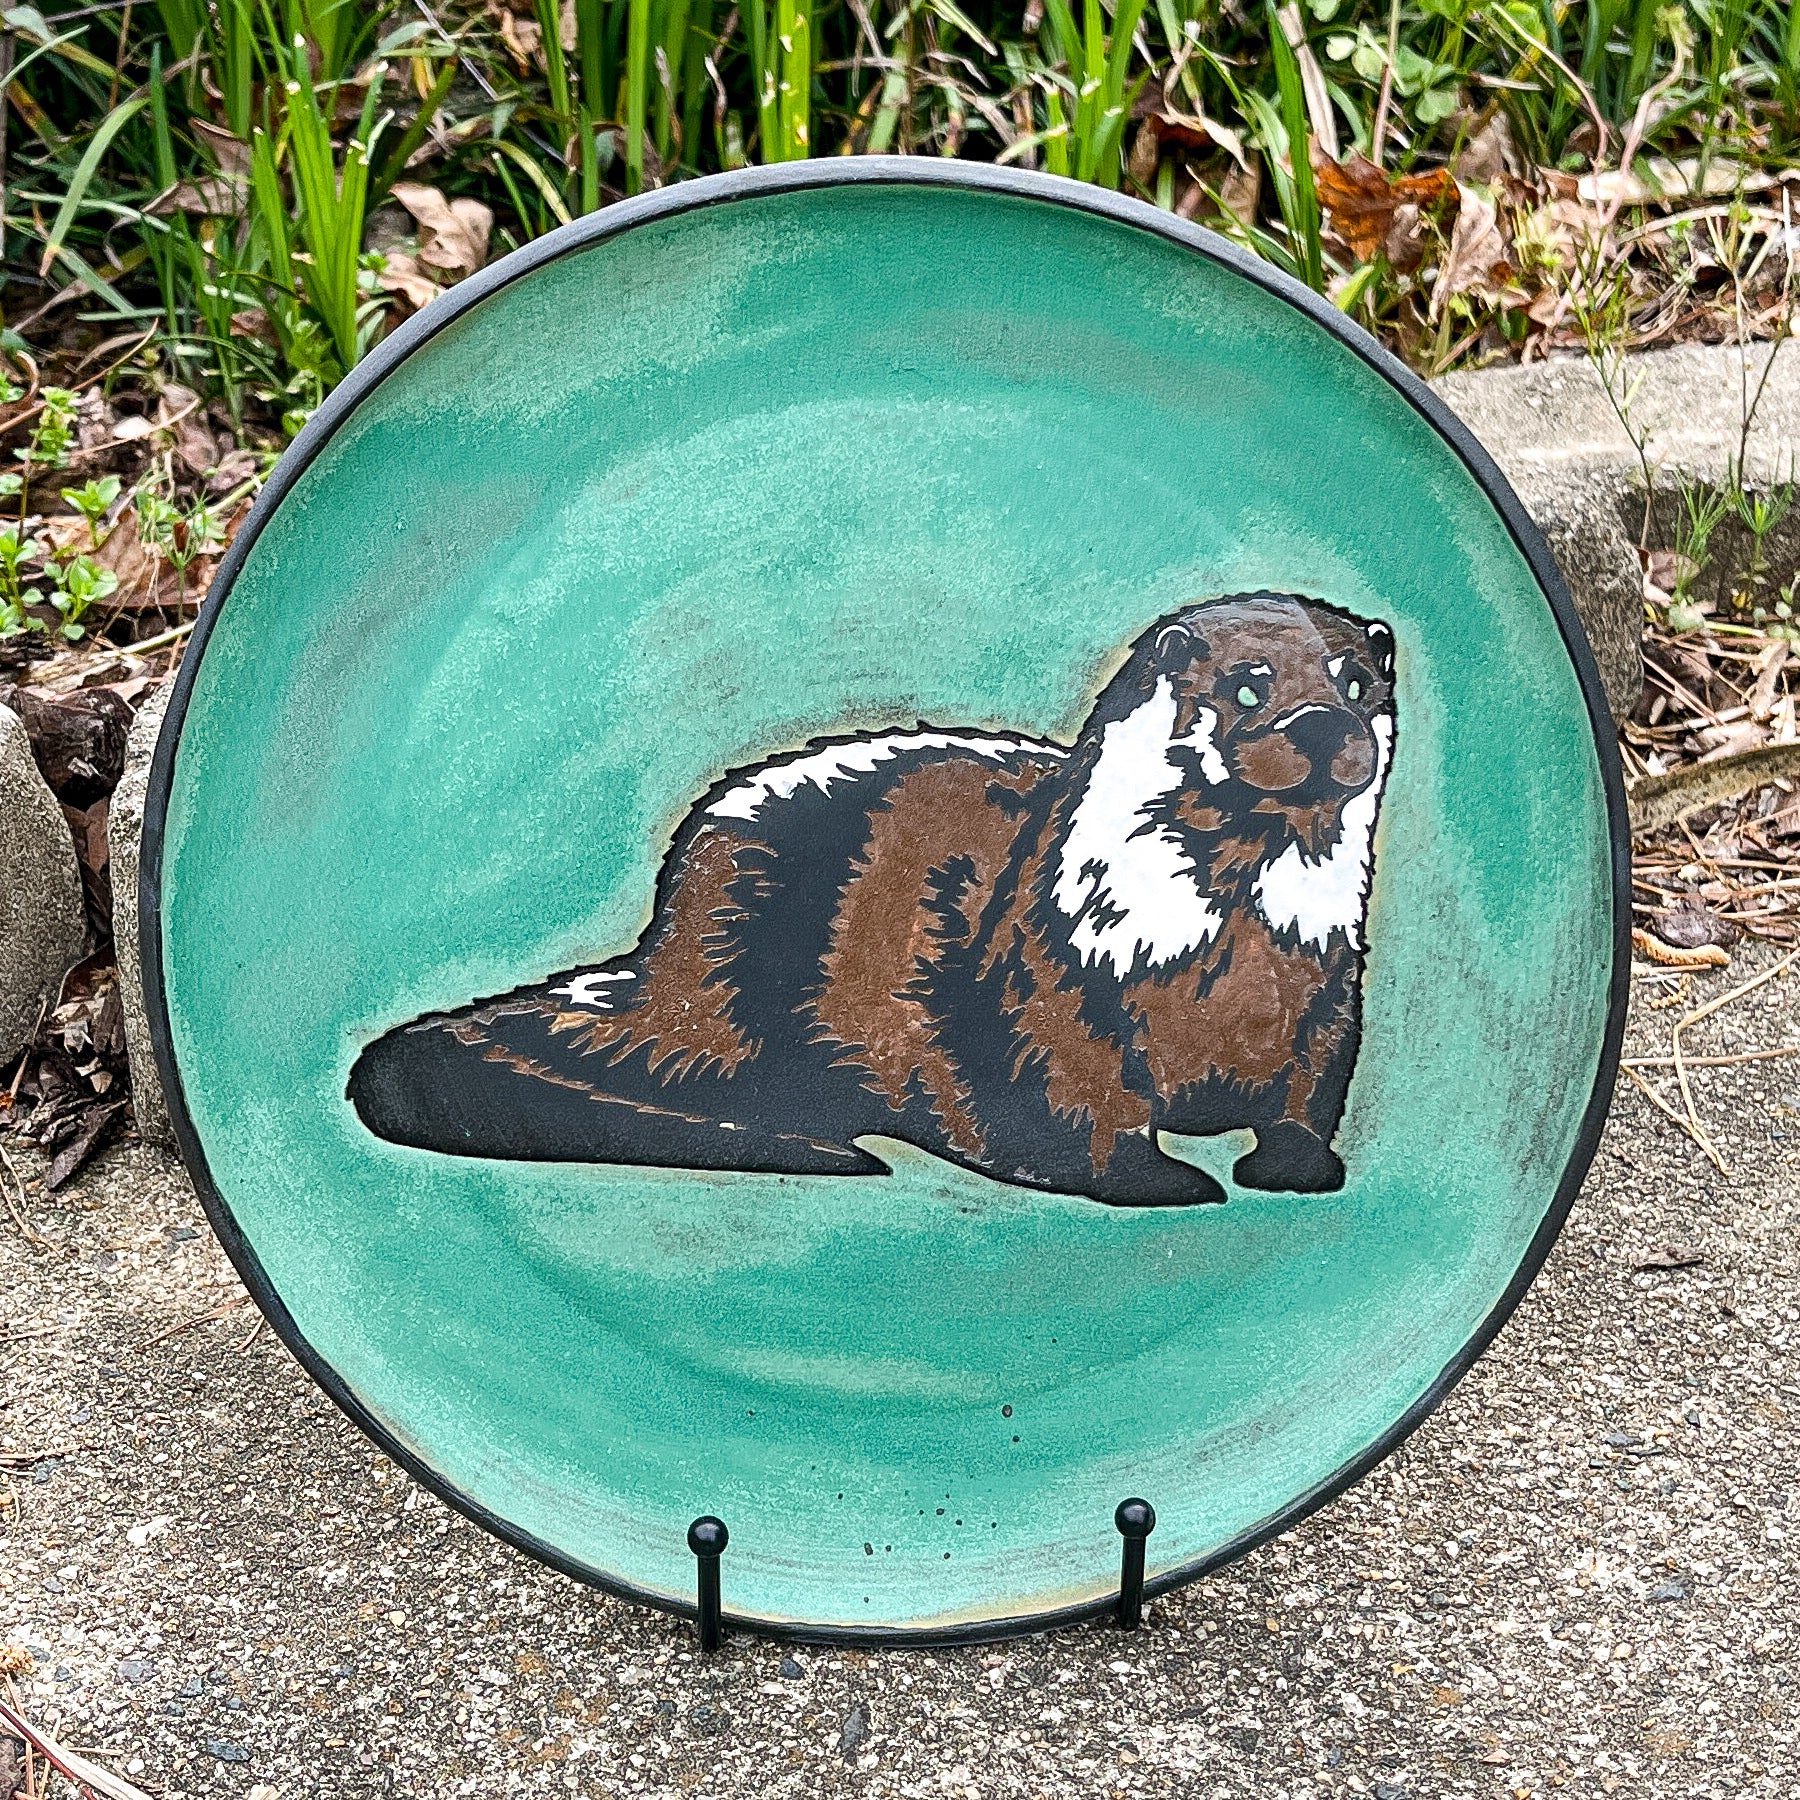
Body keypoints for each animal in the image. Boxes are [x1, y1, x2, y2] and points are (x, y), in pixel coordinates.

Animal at [349, 592, 1396, 1206]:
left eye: (1356, 681)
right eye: (1248, 687)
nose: (1322, 726)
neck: (1220, 967)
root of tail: (659, 957)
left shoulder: (1330, 991)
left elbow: (1311, 1092)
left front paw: (1293, 1166)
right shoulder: (1053, 983)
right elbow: (1067, 1107)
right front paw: (1157, 1179)